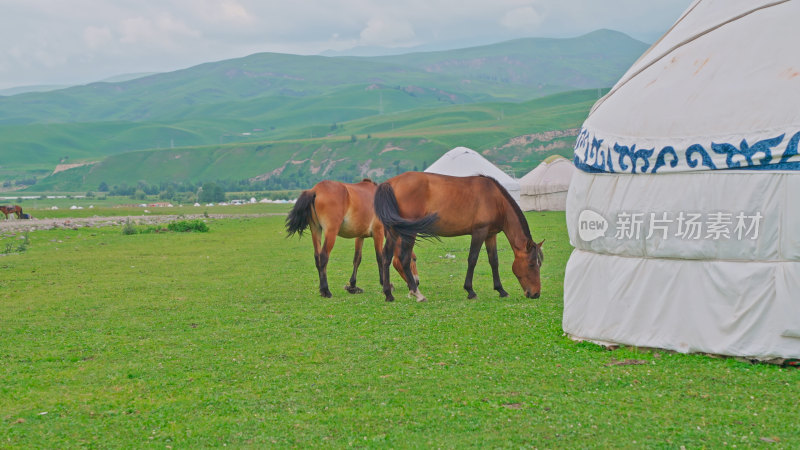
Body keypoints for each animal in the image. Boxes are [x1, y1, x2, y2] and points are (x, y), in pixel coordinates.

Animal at [284, 178, 418, 298]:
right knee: (323, 257)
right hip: (330, 232)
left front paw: (352, 286)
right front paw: (385, 284)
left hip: (316, 230)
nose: (416, 282)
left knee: (317, 257)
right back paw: (326, 290)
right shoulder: (378, 232)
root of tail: (315, 190)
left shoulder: (360, 236)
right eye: (413, 259)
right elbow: (380, 257)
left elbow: (357, 259)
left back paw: (323, 290)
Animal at [376, 172, 544, 302]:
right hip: (409, 231)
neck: (496, 200)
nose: (536, 294)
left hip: (394, 231)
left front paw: (500, 290)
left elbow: (494, 261)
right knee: (404, 258)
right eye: (531, 264)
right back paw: (417, 293)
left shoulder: (490, 235)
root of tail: (389, 183)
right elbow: (472, 259)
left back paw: (388, 294)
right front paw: (470, 291)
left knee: (387, 257)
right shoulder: (479, 232)